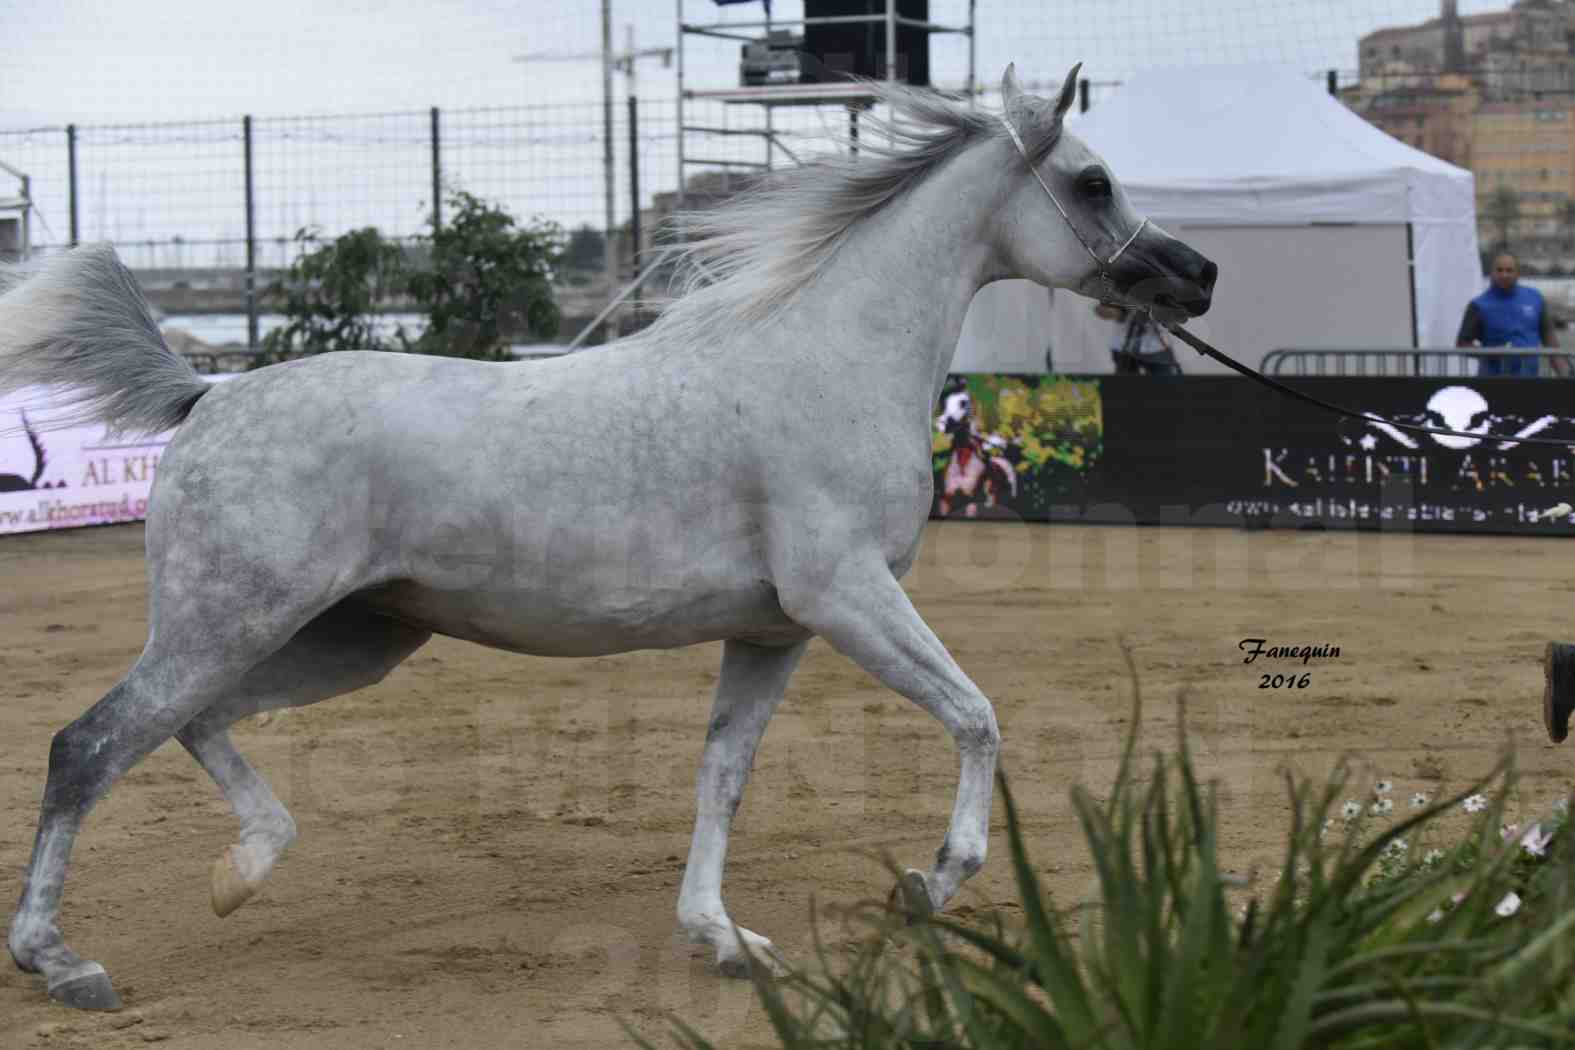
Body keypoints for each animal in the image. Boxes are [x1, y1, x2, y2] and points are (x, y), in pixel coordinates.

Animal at [3, 65, 1215, 1007]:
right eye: (1093, 181)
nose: (1195, 276)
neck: (824, 355)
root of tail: (208, 395)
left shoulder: (774, 632)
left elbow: (722, 775)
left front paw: (724, 940)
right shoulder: (849, 599)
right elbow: (977, 719)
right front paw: (929, 881)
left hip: (349, 637)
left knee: (191, 724)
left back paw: (242, 873)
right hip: (232, 621)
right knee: (90, 746)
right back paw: (62, 963)